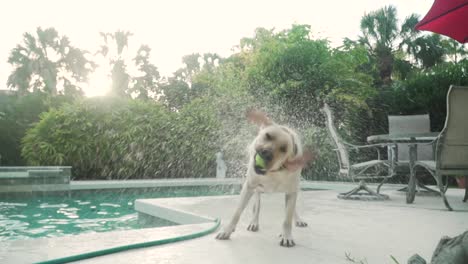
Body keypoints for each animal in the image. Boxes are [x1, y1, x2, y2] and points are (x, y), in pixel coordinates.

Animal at [215, 109, 310, 248]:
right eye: (268, 136)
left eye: (284, 149)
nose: (267, 153)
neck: (273, 173)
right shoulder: (249, 187)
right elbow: (237, 212)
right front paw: (227, 230)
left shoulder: (292, 191)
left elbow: (287, 219)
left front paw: (286, 236)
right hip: (257, 190)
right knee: (257, 206)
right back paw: (254, 222)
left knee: (292, 210)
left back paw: (297, 220)